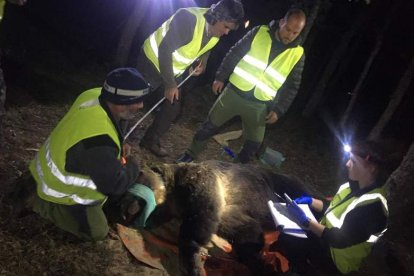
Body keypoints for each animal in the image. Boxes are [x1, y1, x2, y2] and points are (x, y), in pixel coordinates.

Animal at [137, 161, 310, 274]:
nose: (137, 207)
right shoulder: (225, 211)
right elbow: (245, 230)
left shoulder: (202, 184)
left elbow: (197, 228)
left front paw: (192, 262)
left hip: (288, 189)